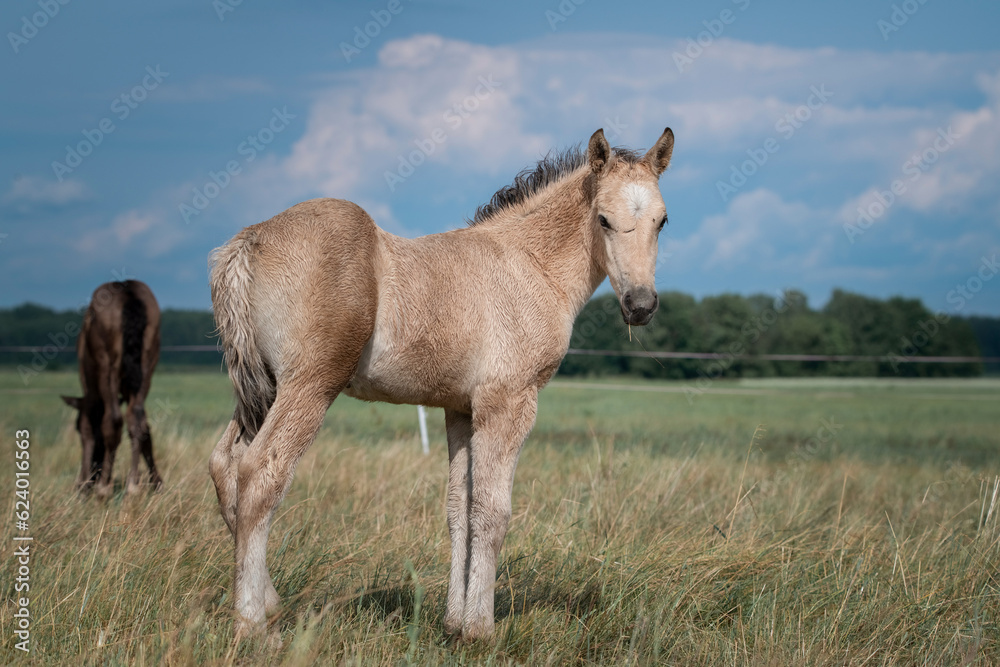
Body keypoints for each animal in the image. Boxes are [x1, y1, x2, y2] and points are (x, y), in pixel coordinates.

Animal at [60, 280, 162, 498]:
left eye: (78, 428)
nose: (85, 481)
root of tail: (128, 292)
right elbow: (146, 429)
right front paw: (156, 481)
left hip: (107, 367)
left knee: (114, 419)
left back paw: (104, 487)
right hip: (147, 364)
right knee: (136, 418)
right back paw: (132, 485)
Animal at [208, 126, 676, 640]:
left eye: (662, 221)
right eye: (604, 219)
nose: (640, 305)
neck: (529, 265)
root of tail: (248, 241)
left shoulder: (460, 408)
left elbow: (459, 508)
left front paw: (453, 621)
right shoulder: (508, 402)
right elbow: (492, 511)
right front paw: (479, 629)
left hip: (263, 389)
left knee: (224, 464)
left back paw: (269, 603)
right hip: (309, 385)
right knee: (260, 472)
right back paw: (253, 625)